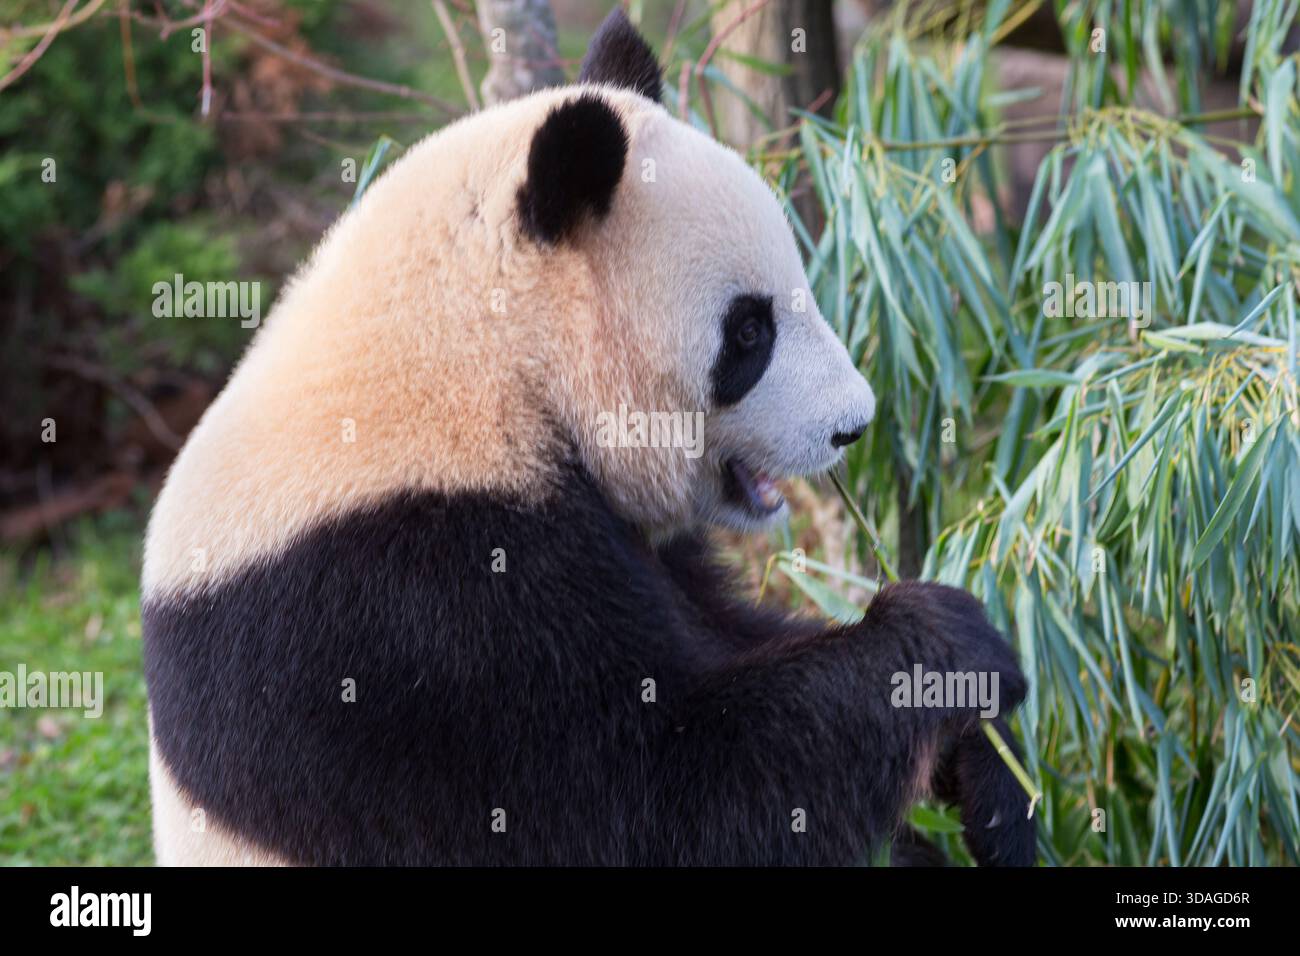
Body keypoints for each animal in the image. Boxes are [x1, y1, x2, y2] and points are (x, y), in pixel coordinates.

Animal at [142, 9, 1034, 867]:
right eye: (749, 332)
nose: (852, 425)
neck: (479, 351)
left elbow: (730, 639)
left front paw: (990, 773)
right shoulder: (402, 600)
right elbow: (648, 798)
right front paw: (947, 647)